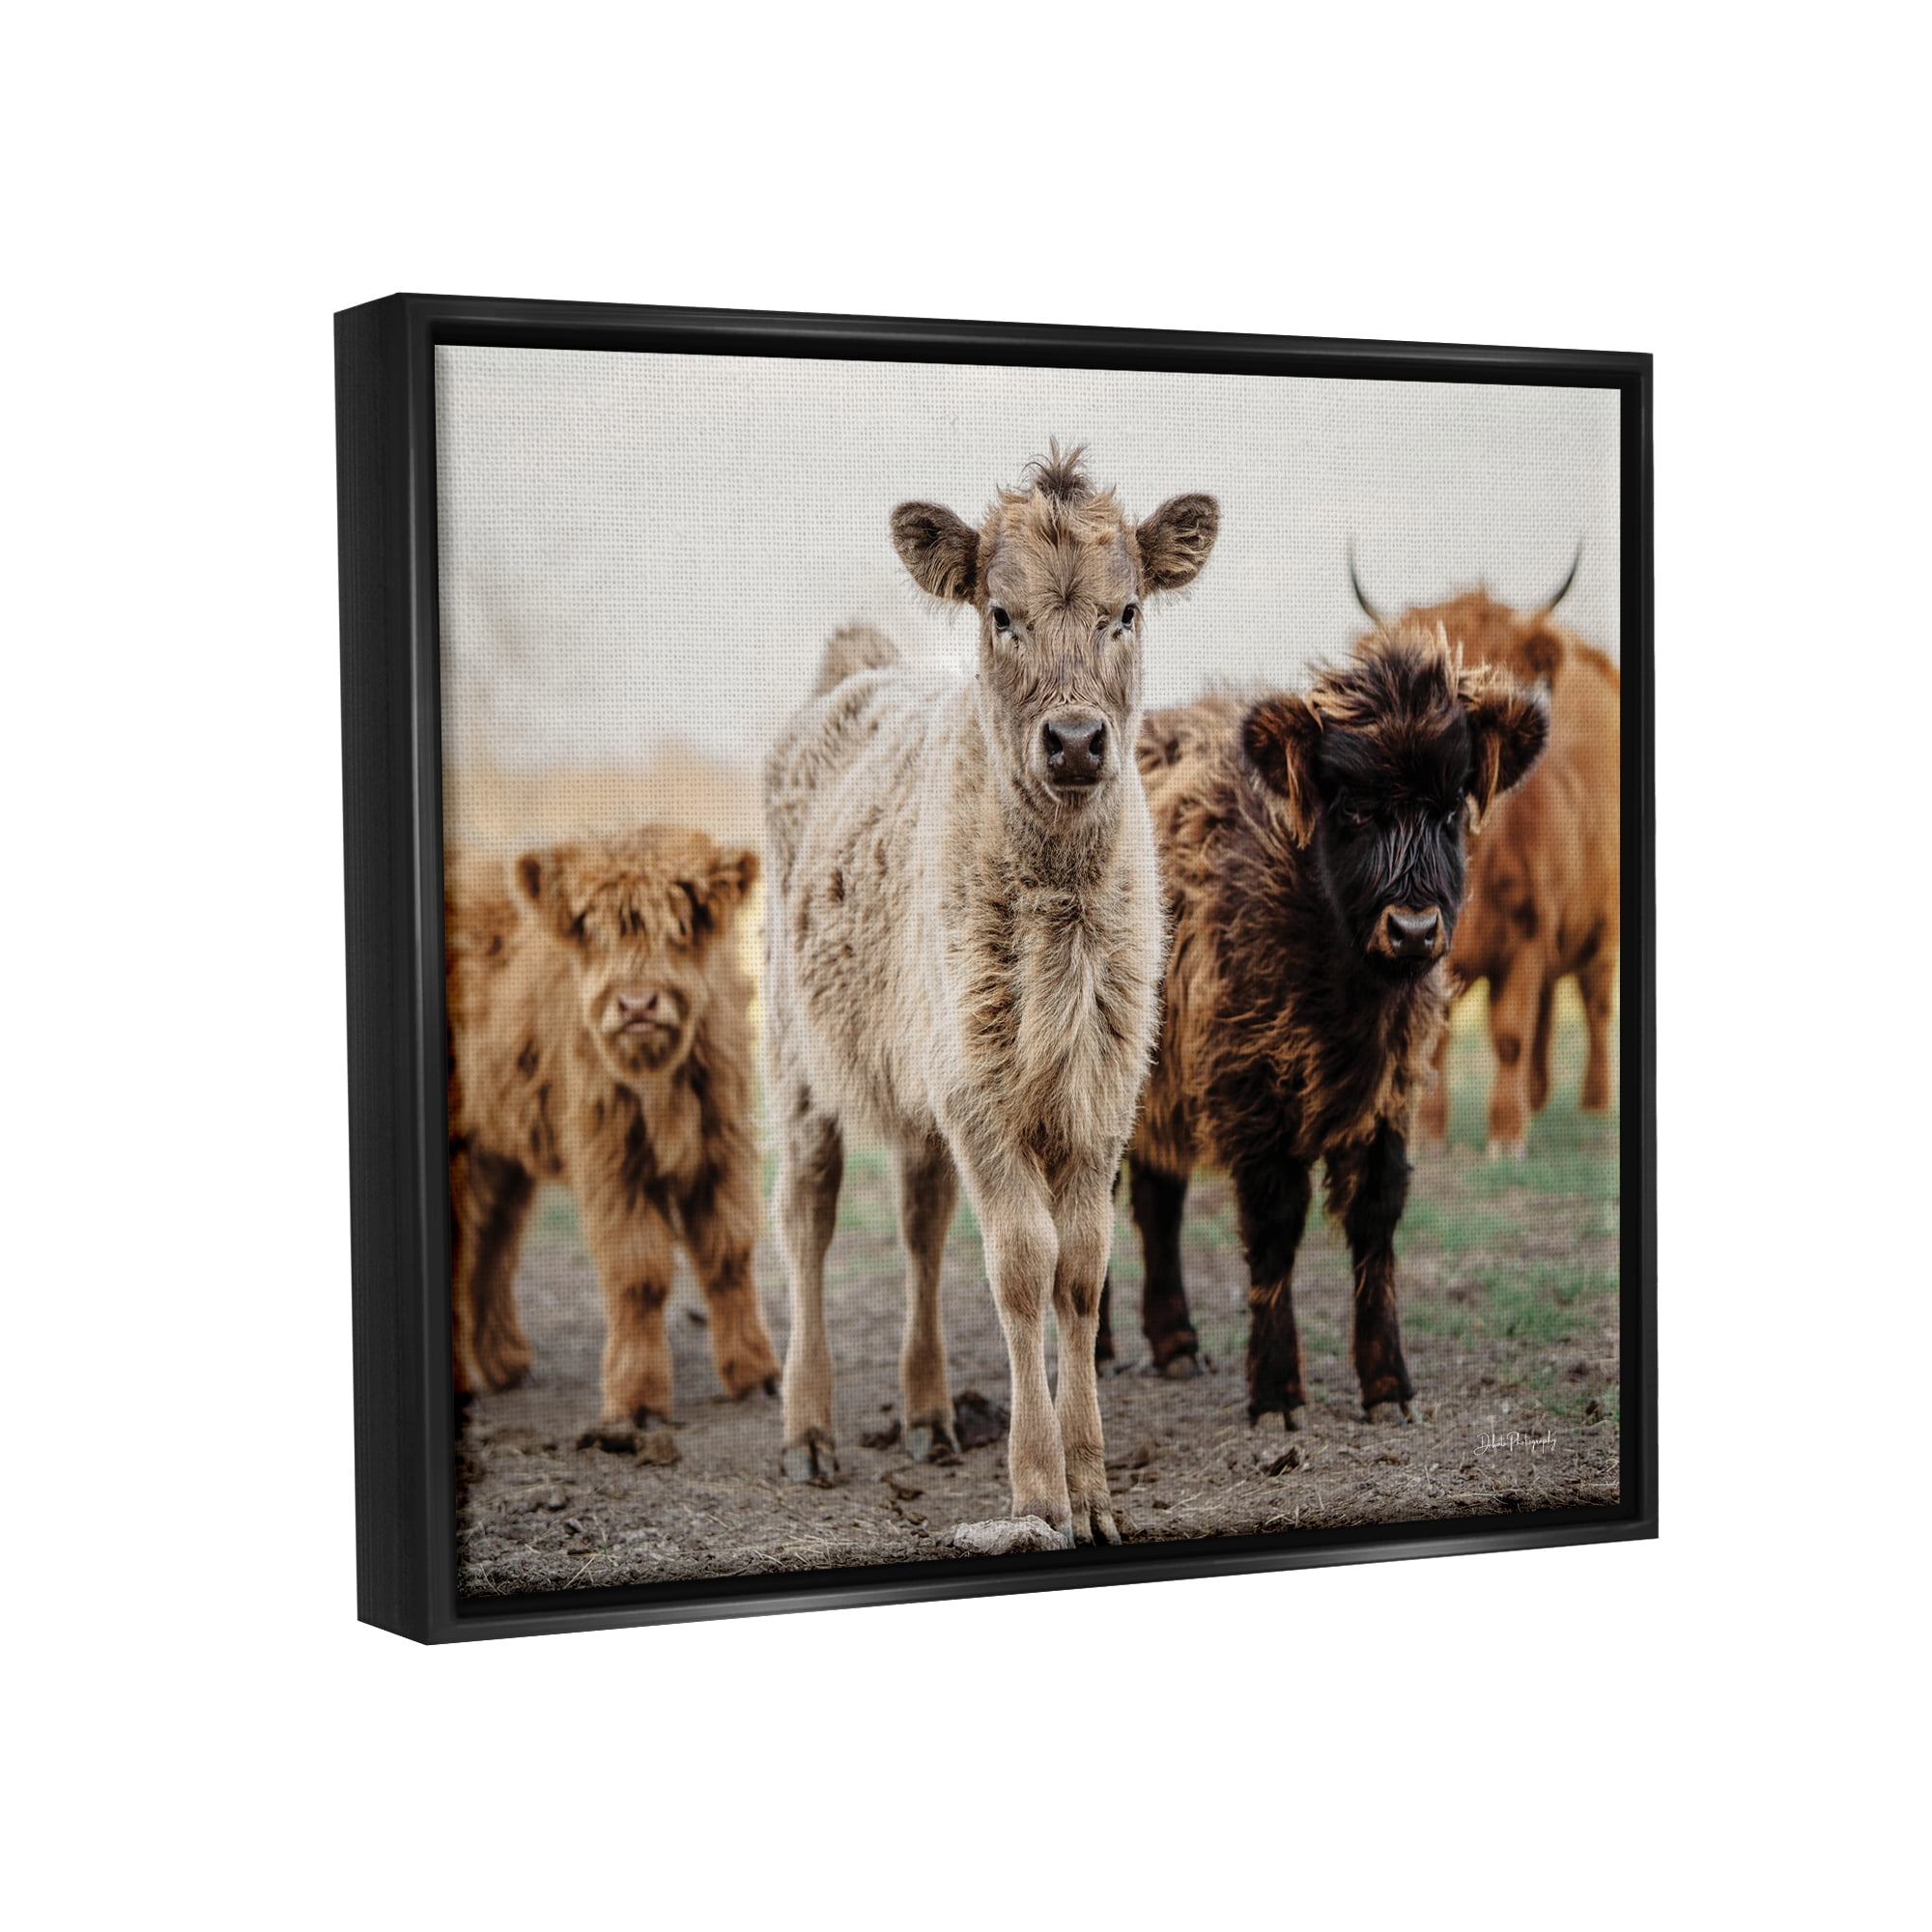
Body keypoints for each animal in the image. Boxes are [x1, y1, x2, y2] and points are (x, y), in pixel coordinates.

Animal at [444, 826, 780, 1445]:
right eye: (592, 932)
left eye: (680, 928)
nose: (636, 1004)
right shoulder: (612, 1158)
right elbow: (638, 1273)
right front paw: (637, 1402)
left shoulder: (721, 1143)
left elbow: (728, 1251)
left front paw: (757, 1375)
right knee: (467, 1245)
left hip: (501, 1148)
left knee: (495, 1242)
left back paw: (506, 1364)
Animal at [762, 443, 1220, 1545]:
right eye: (999, 614)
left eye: (1126, 610)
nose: (1076, 740)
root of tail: (858, 672)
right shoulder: (981, 1097)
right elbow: (1020, 1265)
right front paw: (1038, 1487)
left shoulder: (1100, 1090)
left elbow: (1081, 1269)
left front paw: (1093, 1486)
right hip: (798, 1060)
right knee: (807, 1217)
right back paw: (808, 1427)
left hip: (924, 1069)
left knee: (921, 1222)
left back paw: (929, 1412)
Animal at [1096, 620, 1548, 1425]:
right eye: (1353, 810)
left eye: (1448, 809)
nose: (1412, 929)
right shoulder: (1251, 1090)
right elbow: (1275, 1229)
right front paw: (1277, 1391)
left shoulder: (1390, 1092)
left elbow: (1376, 1218)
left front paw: (1388, 1385)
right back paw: (1092, 1352)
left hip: (1163, 1080)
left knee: (1158, 1197)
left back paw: (1176, 1344)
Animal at [1351, 552, 1622, 1154]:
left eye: (1500, 683)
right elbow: (1438, 1040)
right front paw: (1429, 1136)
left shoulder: (1530, 934)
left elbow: (1510, 1034)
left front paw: (1505, 1139)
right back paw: (1540, 1100)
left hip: (1601, 930)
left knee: (1594, 1005)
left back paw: (1593, 1107)